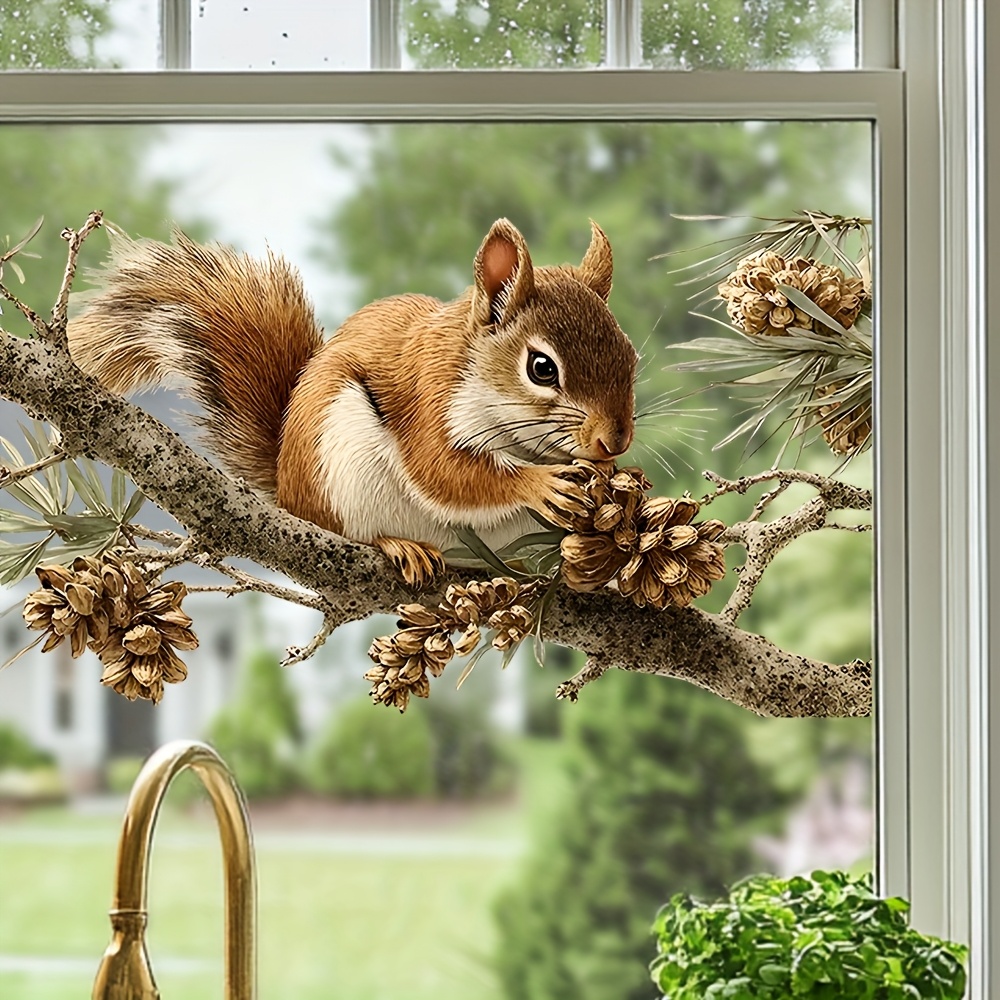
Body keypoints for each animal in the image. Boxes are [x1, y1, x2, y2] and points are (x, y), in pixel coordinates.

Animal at [67, 218, 638, 587]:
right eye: (542, 368)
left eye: (630, 354)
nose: (614, 442)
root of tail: (286, 488)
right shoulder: (429, 403)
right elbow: (447, 475)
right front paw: (540, 484)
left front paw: (609, 488)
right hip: (337, 466)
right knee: (346, 529)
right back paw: (400, 545)